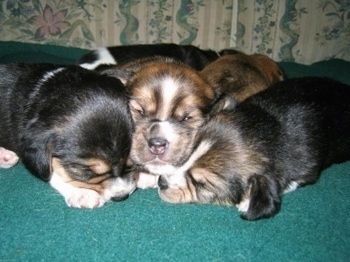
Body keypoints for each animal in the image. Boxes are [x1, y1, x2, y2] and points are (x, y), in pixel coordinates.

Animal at [157, 77, 350, 220]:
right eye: (189, 154)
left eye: (201, 184)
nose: (161, 182)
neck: (268, 130)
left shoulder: (307, 171)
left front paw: (247, 201)